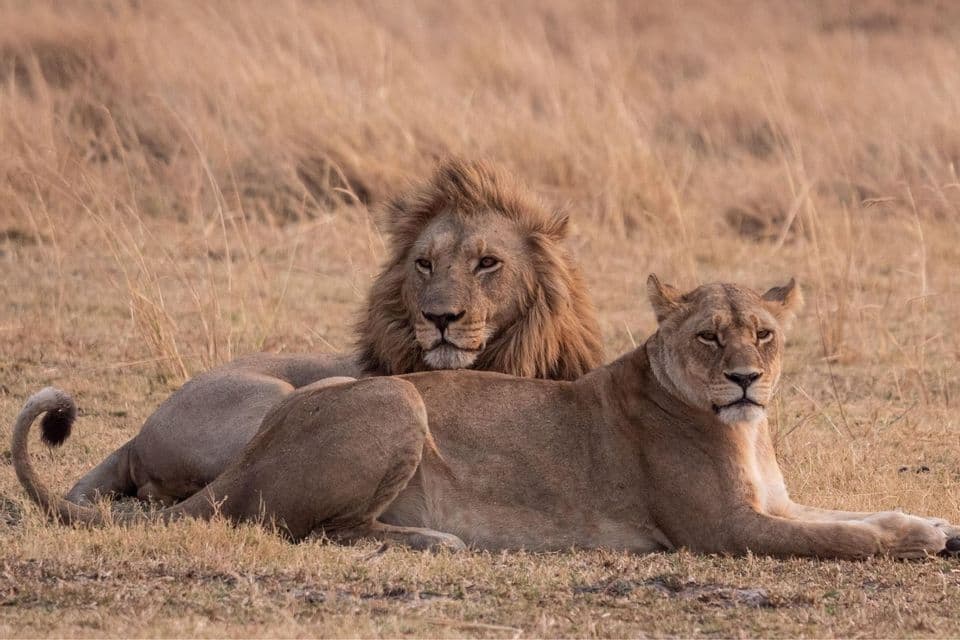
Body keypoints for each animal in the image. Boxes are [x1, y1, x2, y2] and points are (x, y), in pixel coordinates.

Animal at [15, 276, 960, 559]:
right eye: (707, 336)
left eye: (764, 332)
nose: (746, 378)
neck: (745, 430)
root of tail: (250, 455)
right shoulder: (724, 530)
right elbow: (839, 536)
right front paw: (909, 542)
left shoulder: (774, 502)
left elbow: (850, 512)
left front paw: (932, 523)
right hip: (393, 398)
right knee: (300, 526)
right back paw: (437, 540)